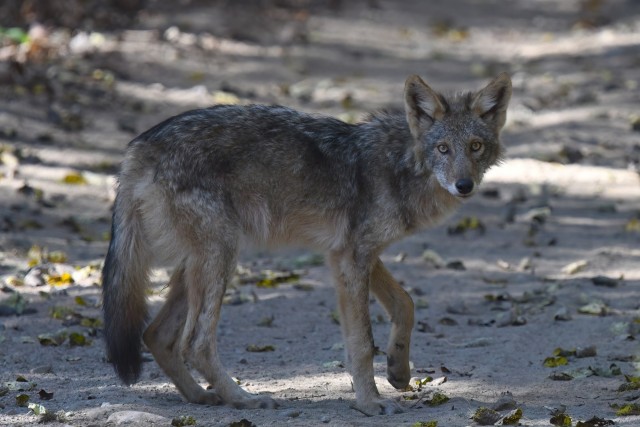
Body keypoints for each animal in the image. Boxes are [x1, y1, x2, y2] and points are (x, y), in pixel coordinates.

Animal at [101, 73, 512, 415]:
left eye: (475, 146)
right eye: (443, 149)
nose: (464, 185)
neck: (401, 165)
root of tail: (140, 145)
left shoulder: (350, 253)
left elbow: (405, 304)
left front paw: (398, 371)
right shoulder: (352, 258)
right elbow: (362, 342)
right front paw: (370, 403)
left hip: (199, 267)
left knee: (156, 336)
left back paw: (202, 397)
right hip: (222, 257)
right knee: (196, 344)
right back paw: (243, 399)